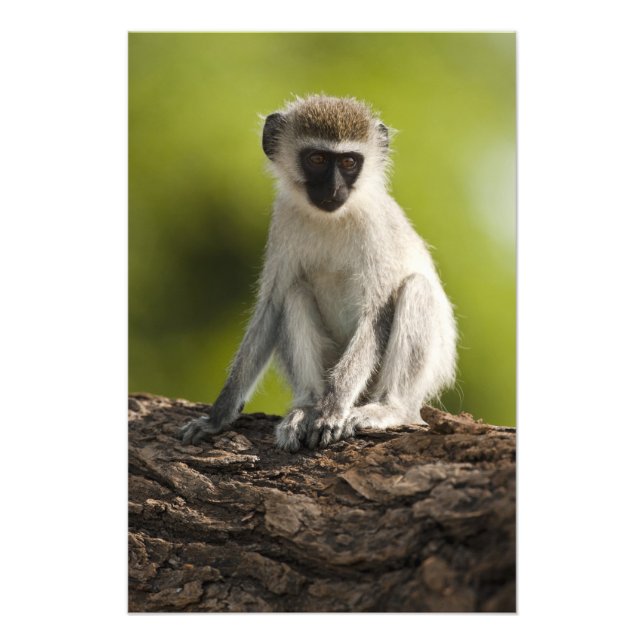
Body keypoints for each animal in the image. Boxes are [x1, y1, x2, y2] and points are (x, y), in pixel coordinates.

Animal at [178, 95, 457, 452]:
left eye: (349, 162)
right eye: (318, 159)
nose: (334, 188)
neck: (332, 218)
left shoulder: (375, 227)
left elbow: (376, 315)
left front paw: (332, 410)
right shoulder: (283, 219)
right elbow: (271, 307)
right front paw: (218, 415)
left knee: (417, 289)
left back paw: (388, 408)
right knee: (294, 293)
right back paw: (308, 406)